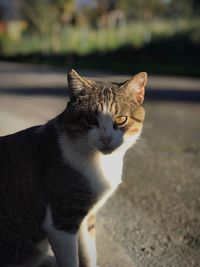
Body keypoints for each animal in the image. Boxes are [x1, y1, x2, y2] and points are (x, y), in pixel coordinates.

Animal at [0, 69, 147, 267]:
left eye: (121, 119)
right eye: (90, 119)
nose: (106, 138)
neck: (99, 161)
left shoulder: (86, 218)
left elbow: (89, 253)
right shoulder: (62, 222)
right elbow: (70, 260)